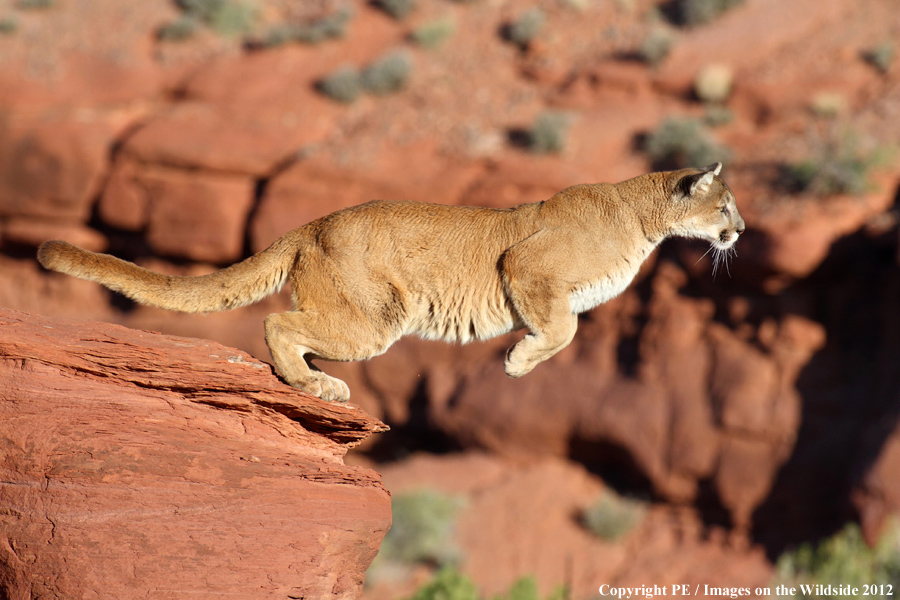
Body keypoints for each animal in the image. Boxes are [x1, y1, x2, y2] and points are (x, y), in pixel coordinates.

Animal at [38, 162, 744, 400]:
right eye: (726, 207)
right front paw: (518, 362)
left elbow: (563, 328)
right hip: (377, 317)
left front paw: (517, 360)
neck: (642, 216)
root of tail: (313, 222)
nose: (741, 231)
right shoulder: (528, 266)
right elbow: (563, 329)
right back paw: (316, 386)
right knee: (277, 321)